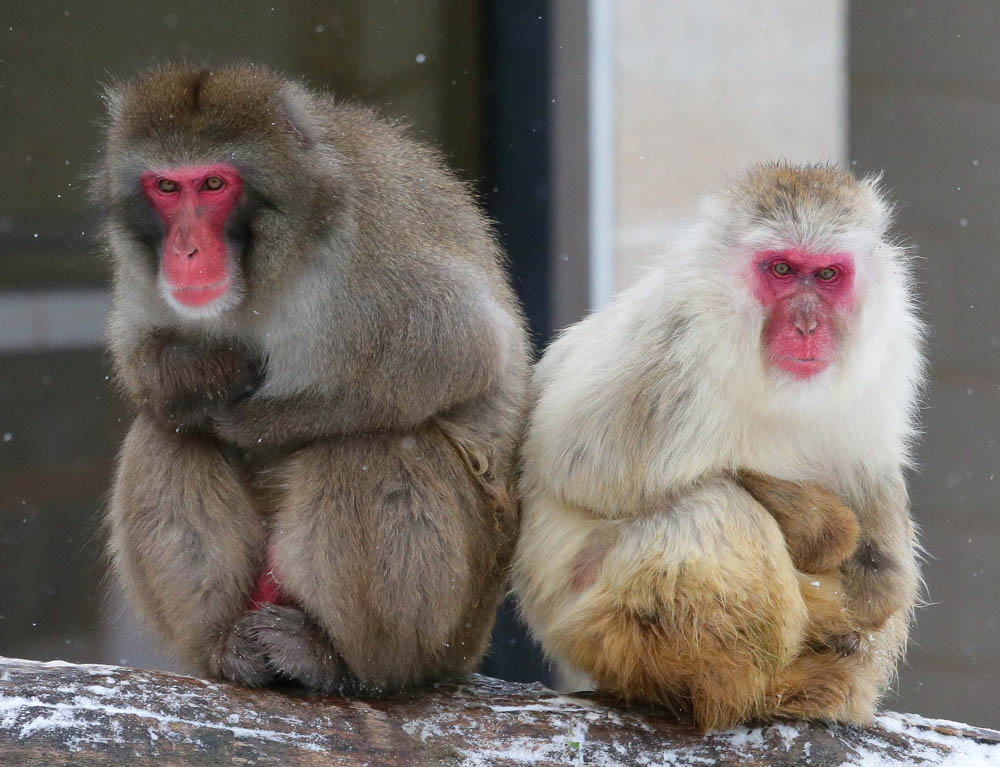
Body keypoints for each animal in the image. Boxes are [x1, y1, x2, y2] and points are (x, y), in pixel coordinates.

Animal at [93, 64, 530, 696]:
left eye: (214, 185)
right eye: (167, 187)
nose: (186, 251)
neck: (270, 263)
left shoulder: (366, 238)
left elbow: (462, 349)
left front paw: (250, 422)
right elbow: (140, 357)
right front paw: (206, 372)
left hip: (453, 626)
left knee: (370, 446)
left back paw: (342, 660)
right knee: (165, 432)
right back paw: (223, 646)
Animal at [511, 163, 924, 731]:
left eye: (826, 275)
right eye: (781, 268)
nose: (807, 323)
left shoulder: (887, 365)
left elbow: (885, 570)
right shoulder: (665, 350)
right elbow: (571, 465)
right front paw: (820, 527)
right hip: (592, 631)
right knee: (712, 510)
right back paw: (744, 689)